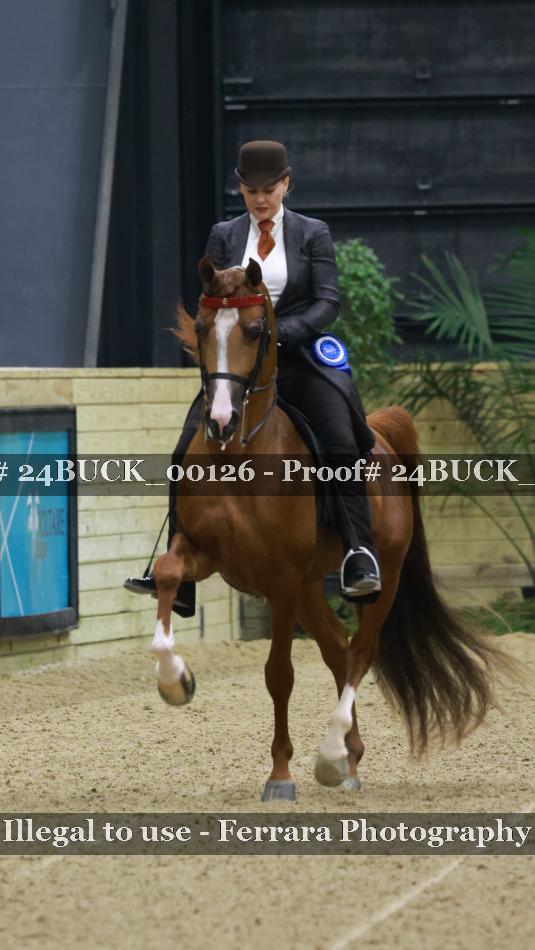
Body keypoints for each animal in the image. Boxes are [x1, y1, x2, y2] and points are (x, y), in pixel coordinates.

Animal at [151, 255, 507, 801]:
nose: (221, 420)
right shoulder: (206, 552)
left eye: (256, 330)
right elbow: (169, 574)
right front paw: (175, 682)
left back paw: (332, 754)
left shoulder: (279, 578)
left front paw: (280, 776)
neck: (241, 455)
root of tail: (380, 432)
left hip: (380, 576)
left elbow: (279, 673)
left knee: (360, 651)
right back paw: (349, 762)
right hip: (308, 588)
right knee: (338, 646)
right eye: (205, 327)